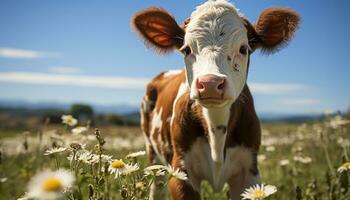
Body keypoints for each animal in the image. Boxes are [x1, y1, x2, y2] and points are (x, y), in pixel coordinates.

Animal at [131, 0, 298, 199]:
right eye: (186, 49)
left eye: (243, 49)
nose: (210, 83)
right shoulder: (181, 171)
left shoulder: (250, 171)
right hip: (153, 154)